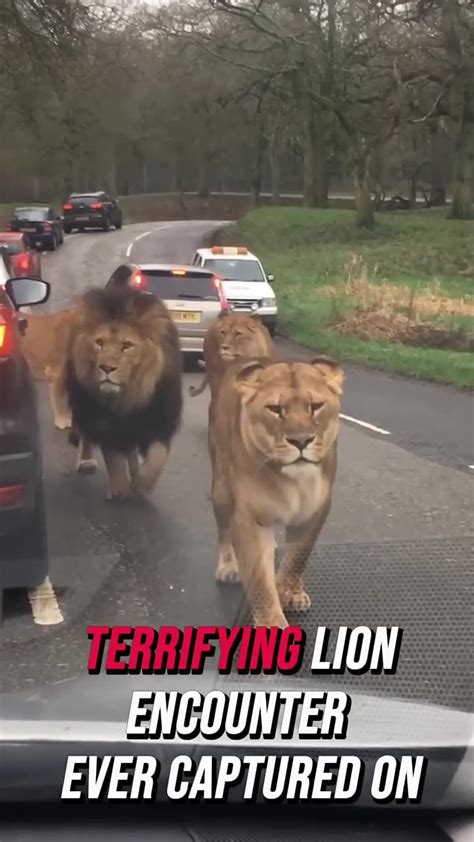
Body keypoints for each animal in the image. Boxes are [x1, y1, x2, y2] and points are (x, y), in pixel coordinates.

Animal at [63, 285, 183, 500]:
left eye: (127, 346)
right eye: (99, 343)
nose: (106, 368)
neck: (129, 396)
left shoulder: (160, 420)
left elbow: (157, 457)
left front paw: (143, 485)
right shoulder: (105, 421)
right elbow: (113, 457)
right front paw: (120, 488)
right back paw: (87, 461)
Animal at [208, 355, 344, 628]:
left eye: (315, 406)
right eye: (275, 409)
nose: (301, 441)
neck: (295, 481)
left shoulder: (315, 512)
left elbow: (297, 557)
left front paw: (290, 592)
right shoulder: (250, 520)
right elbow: (260, 581)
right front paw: (272, 623)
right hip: (221, 490)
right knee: (223, 530)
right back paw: (228, 567)